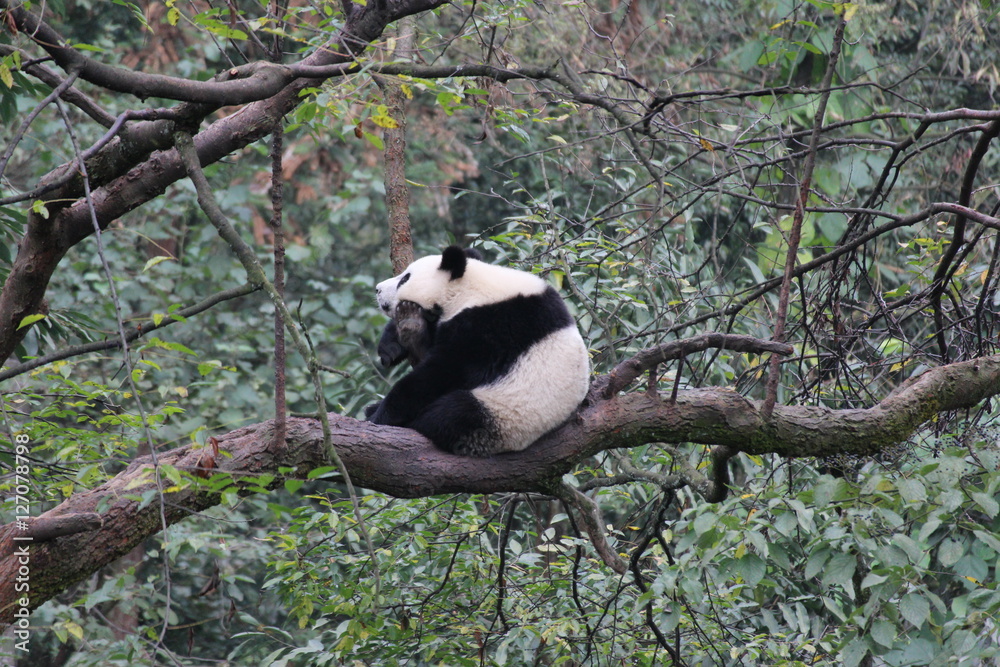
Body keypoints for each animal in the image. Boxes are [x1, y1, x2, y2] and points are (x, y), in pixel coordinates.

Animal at [366, 245, 590, 457]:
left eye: (405, 279)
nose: (377, 289)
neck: (470, 288)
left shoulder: (490, 328)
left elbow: (444, 372)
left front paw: (382, 415)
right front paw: (392, 345)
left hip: (504, 415)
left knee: (452, 414)